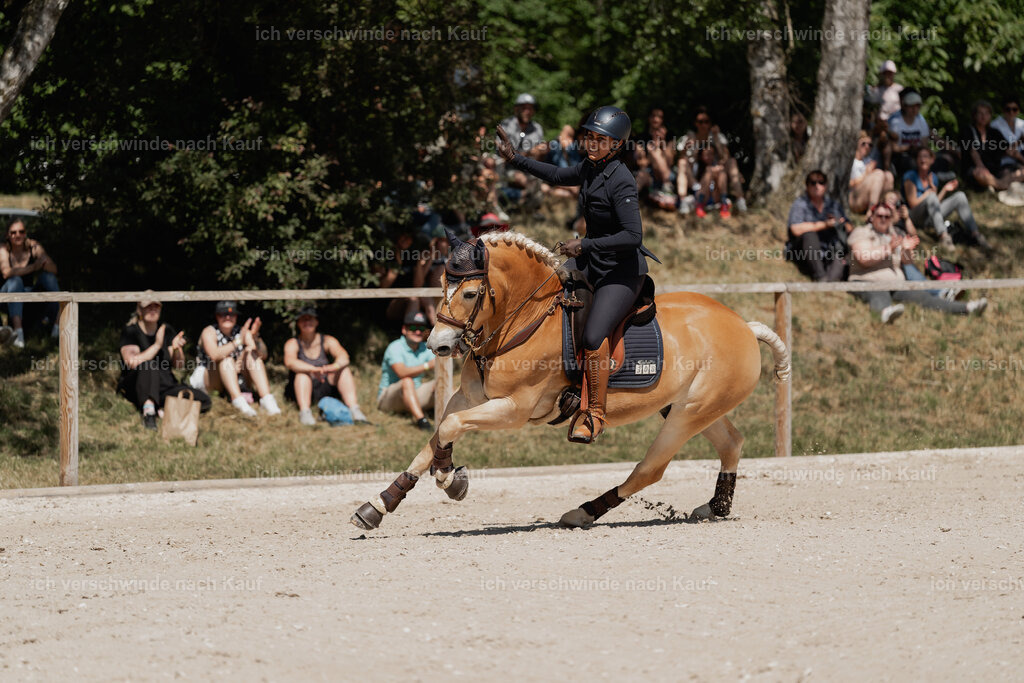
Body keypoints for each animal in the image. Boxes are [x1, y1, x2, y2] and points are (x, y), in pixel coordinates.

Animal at [351, 231, 790, 530]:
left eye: (472, 294)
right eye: (443, 286)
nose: (438, 345)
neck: (523, 319)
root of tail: (743, 326)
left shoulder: (514, 409)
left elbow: (450, 427)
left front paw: (449, 478)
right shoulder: (469, 397)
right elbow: (436, 434)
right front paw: (380, 504)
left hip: (689, 414)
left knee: (650, 470)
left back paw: (584, 512)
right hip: (688, 407)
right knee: (731, 442)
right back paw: (715, 507)